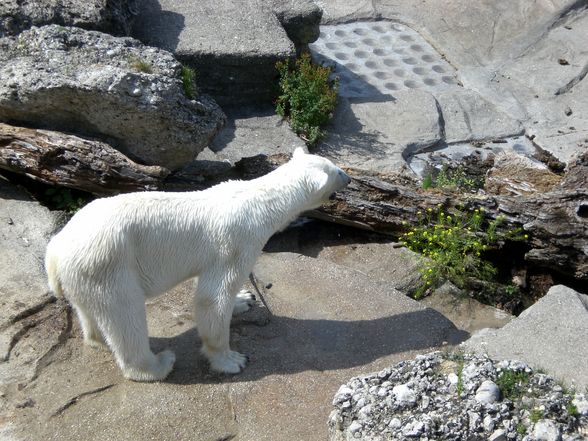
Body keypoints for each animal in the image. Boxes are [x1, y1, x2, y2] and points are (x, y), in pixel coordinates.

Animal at [46, 147, 352, 378]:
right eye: (337, 170)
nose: (349, 179)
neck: (260, 201)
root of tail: (55, 250)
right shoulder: (236, 241)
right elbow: (213, 296)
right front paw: (232, 360)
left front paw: (244, 299)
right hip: (109, 265)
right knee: (125, 317)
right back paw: (159, 365)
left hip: (84, 274)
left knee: (91, 312)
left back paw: (97, 338)